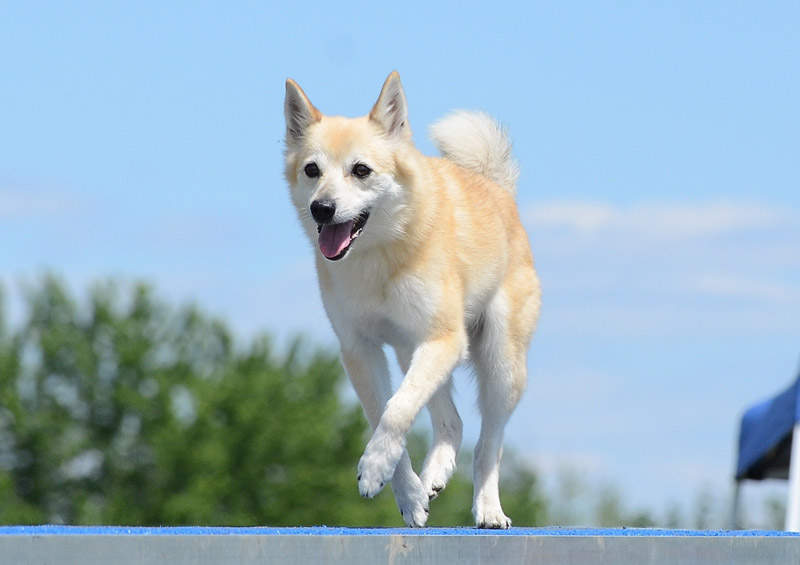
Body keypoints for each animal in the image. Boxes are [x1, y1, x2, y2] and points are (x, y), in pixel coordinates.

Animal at [284, 71, 540, 528]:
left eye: (361, 170)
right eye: (312, 170)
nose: (322, 209)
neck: (379, 253)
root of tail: (496, 188)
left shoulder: (442, 339)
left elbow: (397, 411)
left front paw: (373, 469)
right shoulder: (361, 350)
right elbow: (384, 415)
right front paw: (406, 493)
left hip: (499, 364)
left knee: (488, 445)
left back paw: (488, 509)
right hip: (412, 353)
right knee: (452, 421)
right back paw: (433, 476)